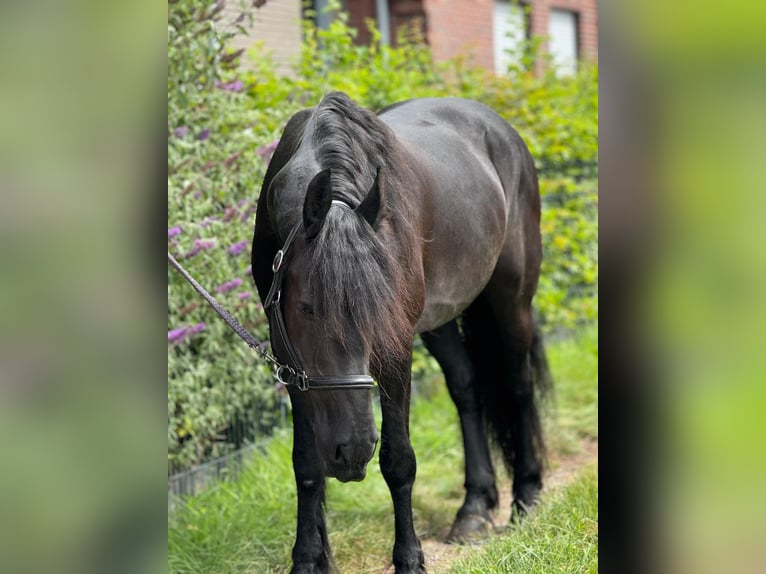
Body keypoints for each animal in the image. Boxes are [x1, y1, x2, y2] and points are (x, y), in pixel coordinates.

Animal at [252, 92, 552, 572]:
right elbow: (306, 464)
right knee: (466, 388)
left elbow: (399, 461)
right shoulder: (289, 356)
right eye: (306, 308)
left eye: (379, 313)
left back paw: (525, 495)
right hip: (441, 319)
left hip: (512, 299)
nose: (353, 452)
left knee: (518, 385)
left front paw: (410, 559)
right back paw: (474, 508)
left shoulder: (396, 349)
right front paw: (307, 560)